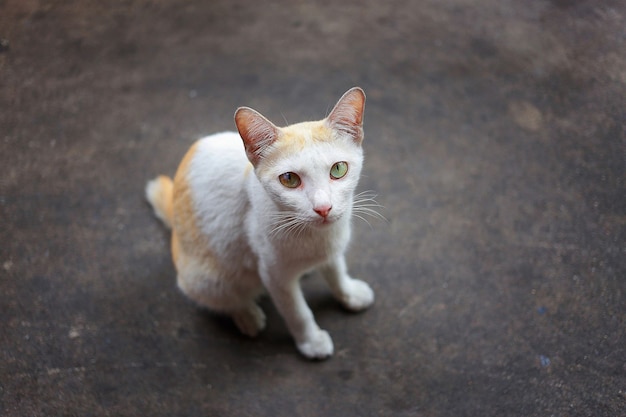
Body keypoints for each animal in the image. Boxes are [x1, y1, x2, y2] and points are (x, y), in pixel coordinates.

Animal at [144, 87, 372, 358]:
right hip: (205, 277)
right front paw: (311, 341)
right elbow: (297, 311)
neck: (314, 237)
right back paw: (247, 315)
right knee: (225, 297)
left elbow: (336, 271)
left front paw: (349, 293)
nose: (323, 208)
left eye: (338, 169)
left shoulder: (332, 246)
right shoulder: (273, 273)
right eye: (289, 179)